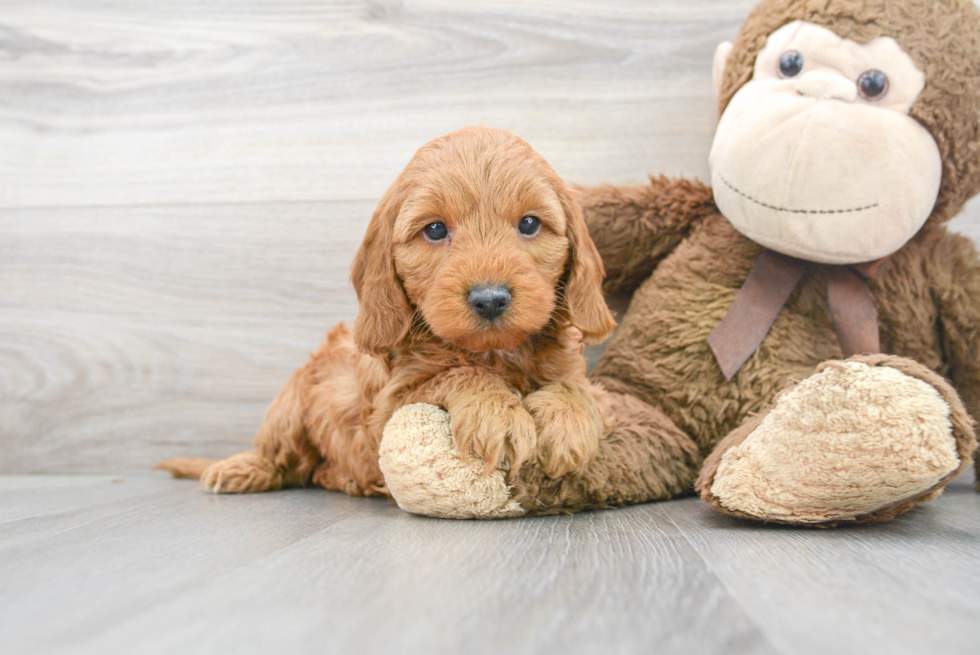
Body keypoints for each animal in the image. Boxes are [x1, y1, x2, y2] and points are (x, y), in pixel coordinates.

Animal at [157, 127, 616, 498]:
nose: (489, 299)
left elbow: (575, 388)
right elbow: (457, 373)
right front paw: (496, 413)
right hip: (289, 404)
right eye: (435, 229)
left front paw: (567, 423)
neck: (495, 353)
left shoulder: (584, 379)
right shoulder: (388, 409)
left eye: (530, 224)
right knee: (281, 458)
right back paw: (240, 468)